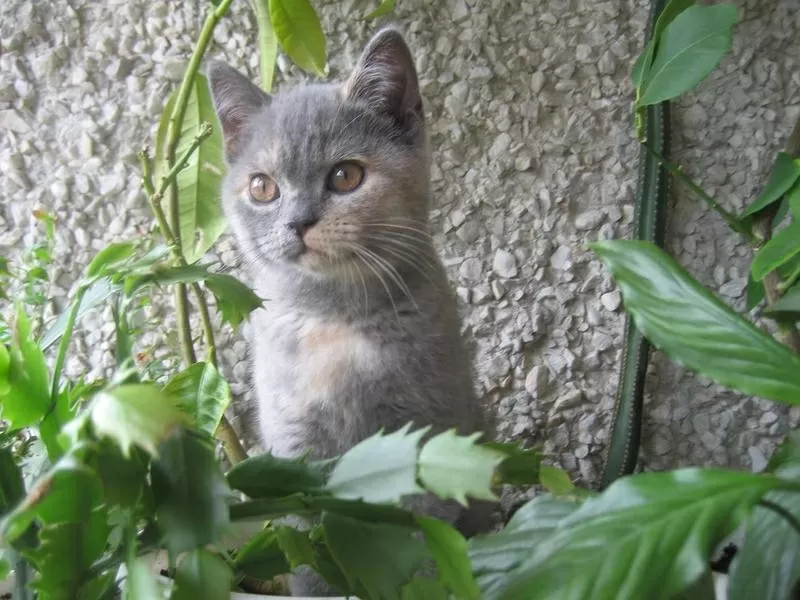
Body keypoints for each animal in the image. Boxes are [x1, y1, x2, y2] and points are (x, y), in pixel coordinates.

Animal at [206, 27, 494, 596]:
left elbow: (419, 538)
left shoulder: (422, 440)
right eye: (262, 187)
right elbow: (307, 546)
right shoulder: (294, 450)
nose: (298, 222)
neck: (333, 322)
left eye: (345, 176)